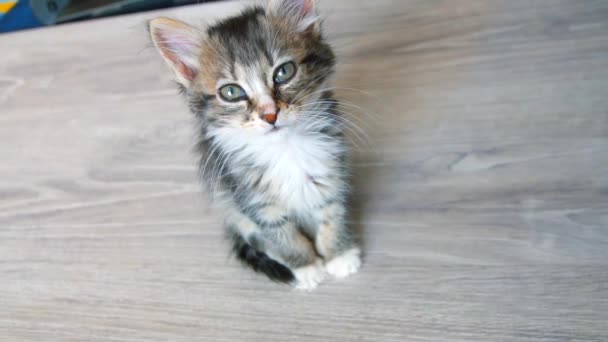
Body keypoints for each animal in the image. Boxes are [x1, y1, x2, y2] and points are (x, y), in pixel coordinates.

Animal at [149, 0, 358, 290]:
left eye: (284, 72)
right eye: (231, 92)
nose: (270, 115)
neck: (285, 148)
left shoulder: (330, 173)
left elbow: (332, 216)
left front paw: (339, 255)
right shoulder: (252, 199)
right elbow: (282, 236)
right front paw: (305, 268)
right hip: (232, 208)